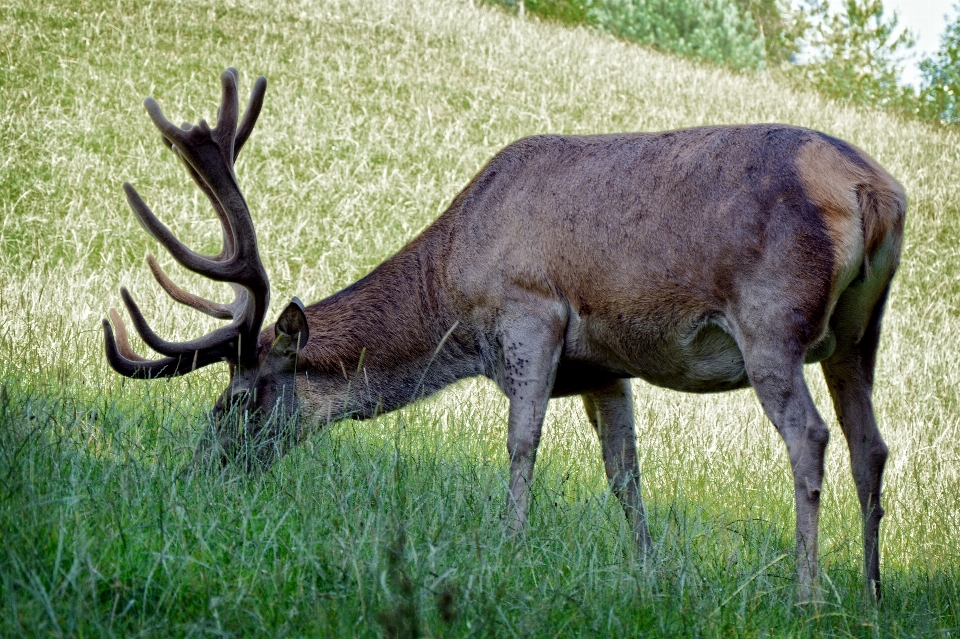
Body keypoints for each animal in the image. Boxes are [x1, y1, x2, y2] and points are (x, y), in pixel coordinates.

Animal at [105, 69, 908, 600]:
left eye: (236, 401)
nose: (195, 474)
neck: (455, 297)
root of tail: (876, 193)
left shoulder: (531, 311)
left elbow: (522, 441)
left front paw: (510, 547)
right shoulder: (604, 364)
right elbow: (625, 471)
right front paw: (648, 573)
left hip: (772, 320)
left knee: (809, 435)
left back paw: (806, 595)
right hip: (858, 333)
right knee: (870, 444)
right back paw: (870, 596)